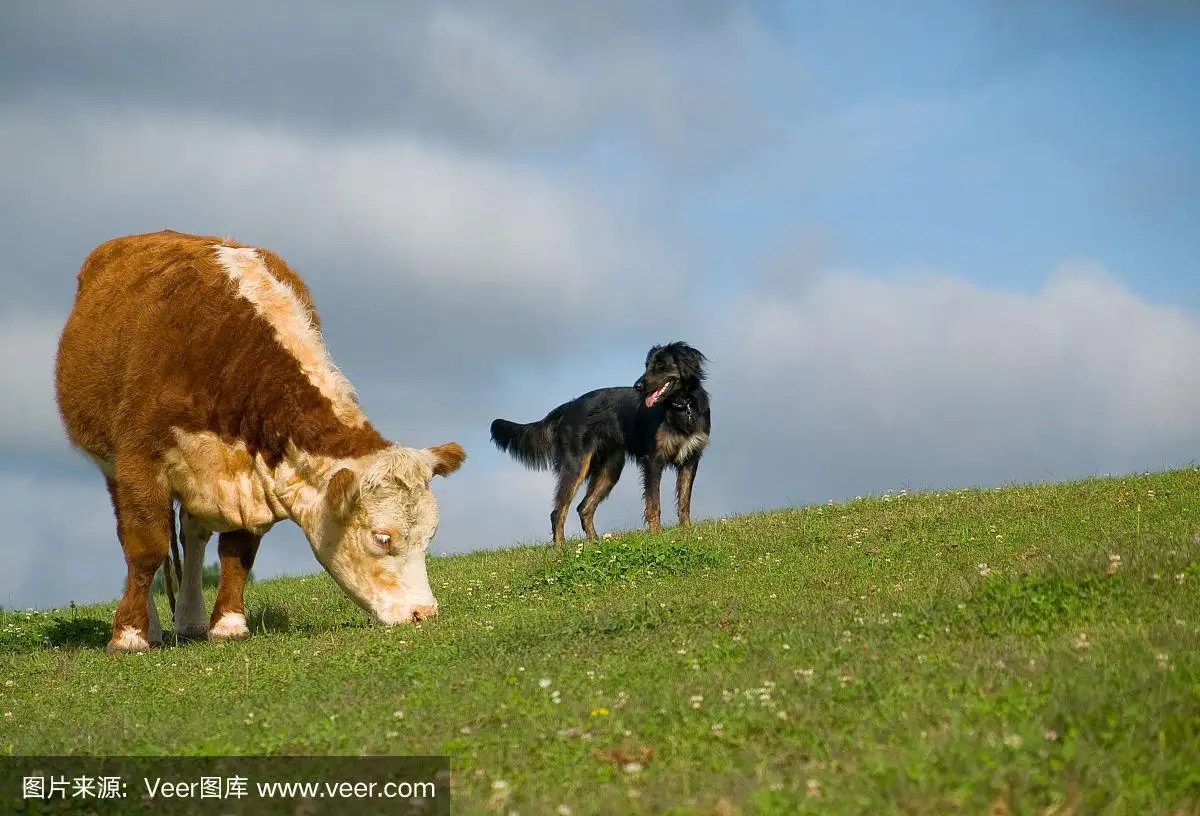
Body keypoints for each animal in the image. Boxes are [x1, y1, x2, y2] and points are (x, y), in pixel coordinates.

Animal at [57, 229, 468, 648]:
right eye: (382, 537)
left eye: (430, 536)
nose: (423, 613)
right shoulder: (140, 461)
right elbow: (145, 548)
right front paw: (129, 636)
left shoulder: (246, 474)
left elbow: (237, 551)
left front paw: (229, 624)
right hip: (113, 466)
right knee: (132, 537)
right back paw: (152, 628)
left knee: (194, 535)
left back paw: (190, 620)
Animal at [489, 340, 705, 544]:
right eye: (647, 365)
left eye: (660, 365)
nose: (637, 386)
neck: (681, 407)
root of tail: (568, 407)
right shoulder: (653, 460)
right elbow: (654, 504)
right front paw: (657, 536)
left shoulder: (691, 459)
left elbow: (684, 501)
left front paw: (688, 532)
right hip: (576, 465)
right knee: (558, 511)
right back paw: (562, 549)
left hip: (609, 469)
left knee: (584, 507)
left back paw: (594, 543)